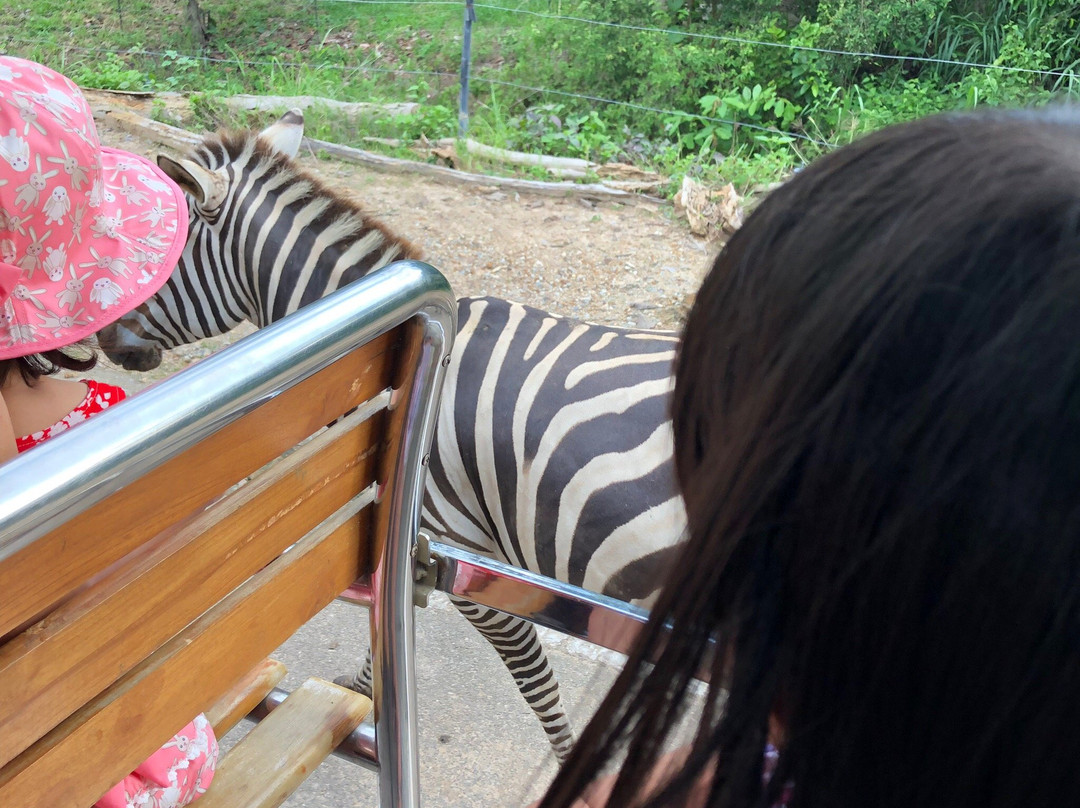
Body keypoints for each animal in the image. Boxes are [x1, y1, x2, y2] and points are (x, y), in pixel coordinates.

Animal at [92, 110, 682, 760]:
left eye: (148, 260)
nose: (102, 344)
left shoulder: (459, 555)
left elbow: (529, 676)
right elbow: (391, 624)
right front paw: (362, 694)